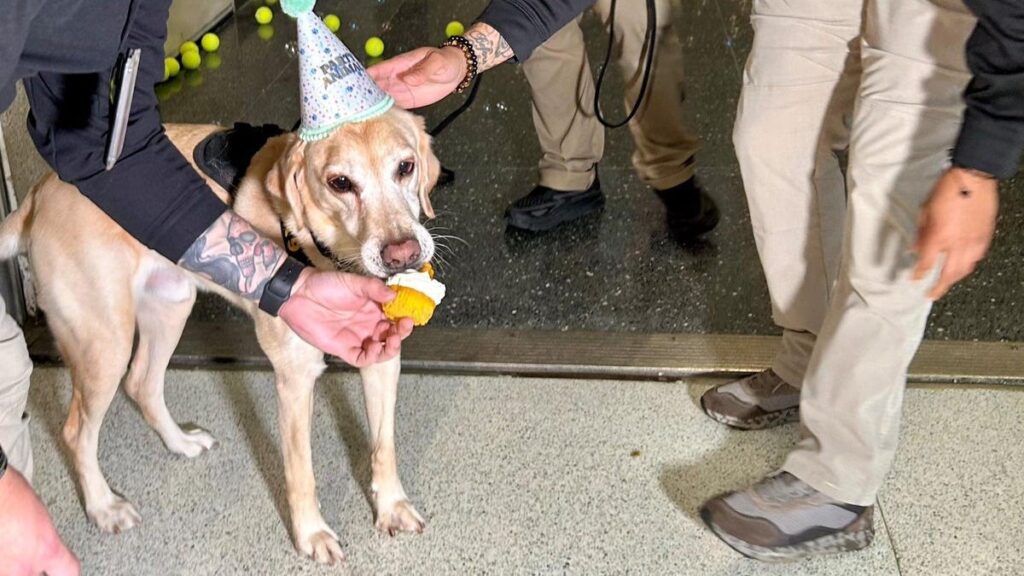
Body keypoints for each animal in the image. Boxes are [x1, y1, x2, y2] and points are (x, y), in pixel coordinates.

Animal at [0, 106, 436, 561]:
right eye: (340, 183)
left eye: (405, 167)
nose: (402, 254)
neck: (330, 251)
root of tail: (38, 193)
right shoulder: (295, 378)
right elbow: (301, 470)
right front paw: (311, 534)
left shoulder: (383, 356)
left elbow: (383, 446)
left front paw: (392, 506)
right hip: (104, 345)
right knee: (76, 431)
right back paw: (103, 506)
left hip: (170, 308)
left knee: (142, 384)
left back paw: (179, 443)